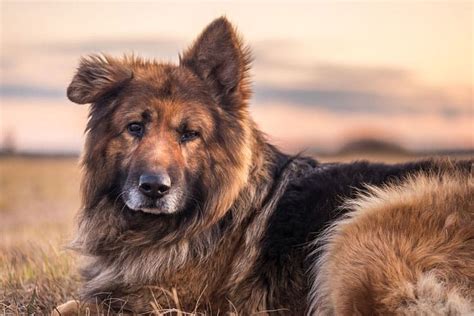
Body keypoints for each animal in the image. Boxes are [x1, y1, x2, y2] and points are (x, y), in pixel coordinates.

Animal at [56, 17, 474, 316]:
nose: (154, 188)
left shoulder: (163, 303)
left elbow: (67, 307)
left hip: (356, 238)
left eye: (190, 134)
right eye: (135, 128)